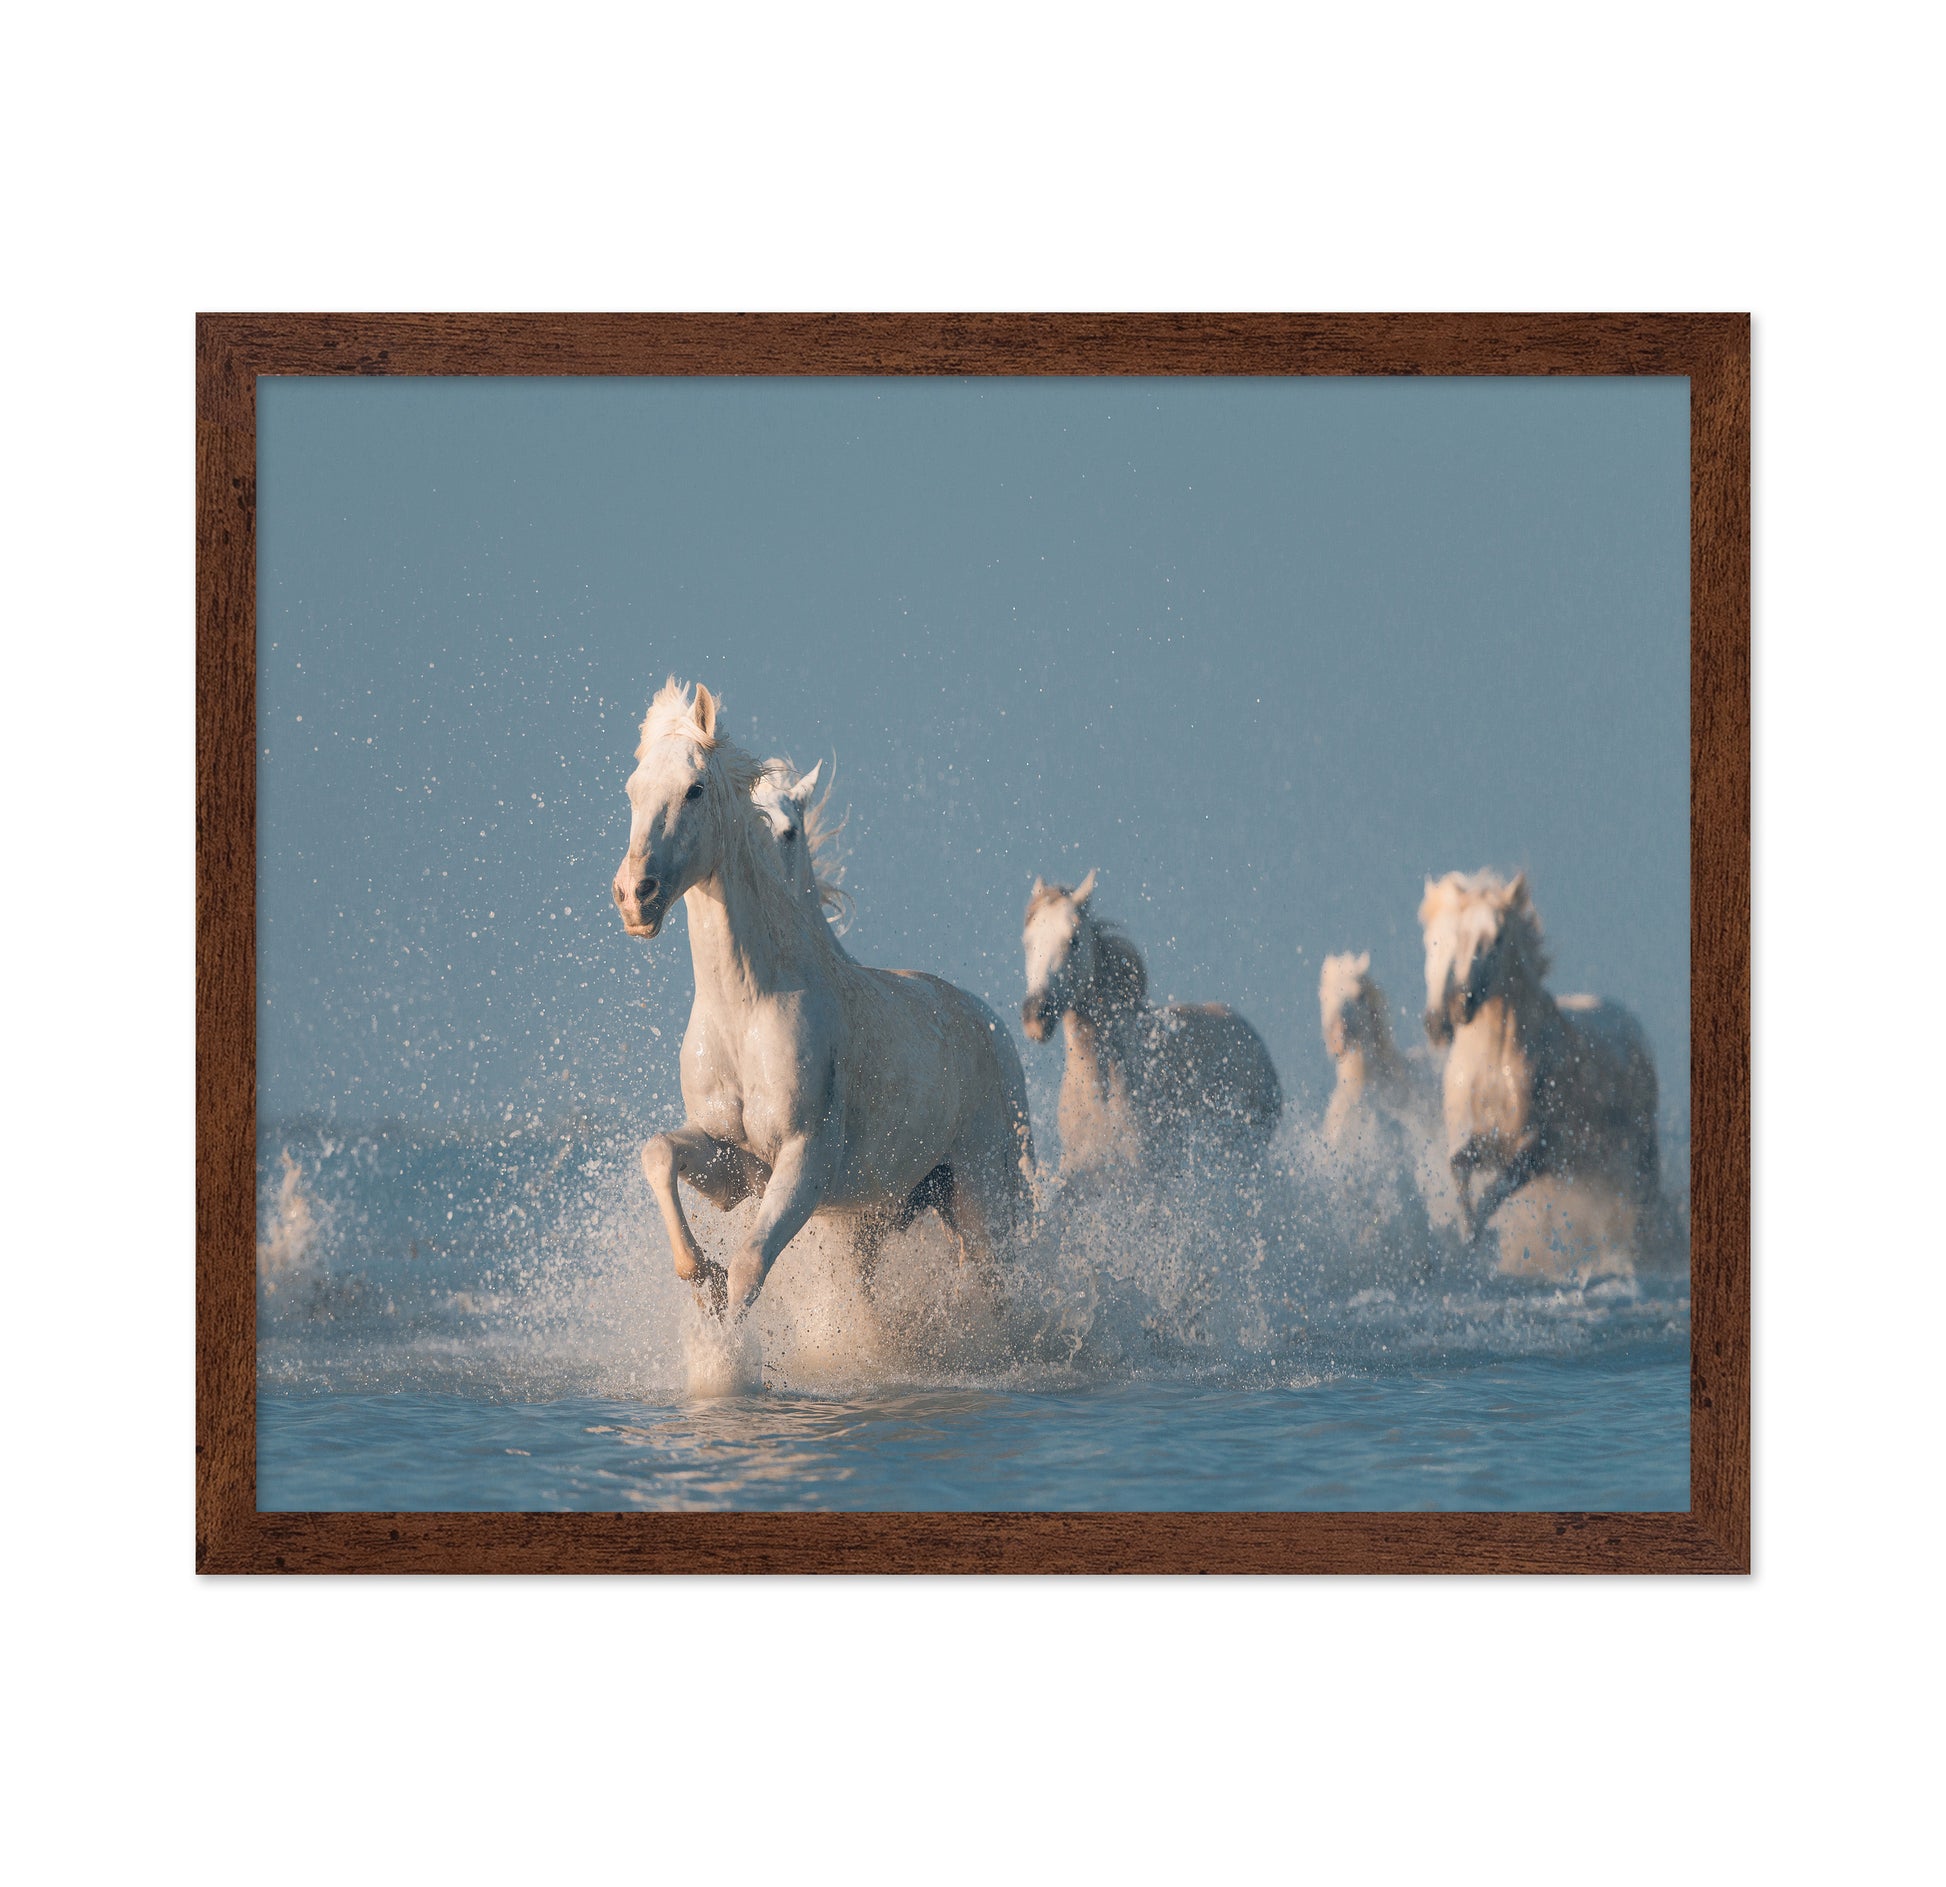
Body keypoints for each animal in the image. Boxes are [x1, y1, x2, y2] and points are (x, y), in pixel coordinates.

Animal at [613, 680, 1034, 1320]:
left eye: (694, 789)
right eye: (633, 790)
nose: (635, 896)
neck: (747, 1009)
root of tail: (990, 1023)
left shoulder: (804, 1163)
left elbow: (750, 1266)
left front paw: (725, 1330)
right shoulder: (736, 1164)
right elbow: (658, 1152)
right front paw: (700, 1274)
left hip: (985, 1196)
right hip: (886, 1213)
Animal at [1418, 869, 1661, 1246]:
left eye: (1497, 938)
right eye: (1434, 940)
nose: (1449, 1014)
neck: (1492, 1065)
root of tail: (1630, 1023)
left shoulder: (1536, 1152)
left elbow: (1495, 1191)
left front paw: (1477, 1237)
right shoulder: (1479, 1141)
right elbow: (1459, 1167)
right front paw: (1467, 1234)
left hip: (1638, 1155)